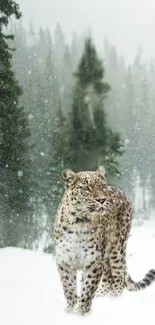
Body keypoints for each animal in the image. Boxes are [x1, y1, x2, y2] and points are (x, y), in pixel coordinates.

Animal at [53, 165, 155, 314]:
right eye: (87, 188)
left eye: (102, 186)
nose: (102, 200)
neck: (79, 223)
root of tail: (121, 192)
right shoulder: (65, 261)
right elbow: (68, 287)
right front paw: (70, 309)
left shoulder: (94, 261)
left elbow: (88, 288)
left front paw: (81, 311)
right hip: (106, 255)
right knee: (108, 277)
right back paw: (101, 295)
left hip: (117, 248)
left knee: (118, 275)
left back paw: (114, 299)